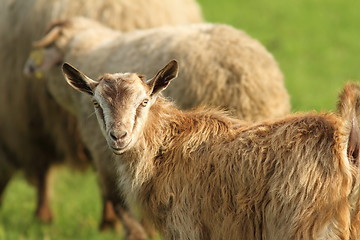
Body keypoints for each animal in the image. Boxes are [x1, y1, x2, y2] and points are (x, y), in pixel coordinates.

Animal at [63, 59, 360, 238]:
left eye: (144, 102)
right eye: (97, 104)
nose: (119, 136)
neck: (166, 146)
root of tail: (342, 140)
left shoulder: (186, 225)